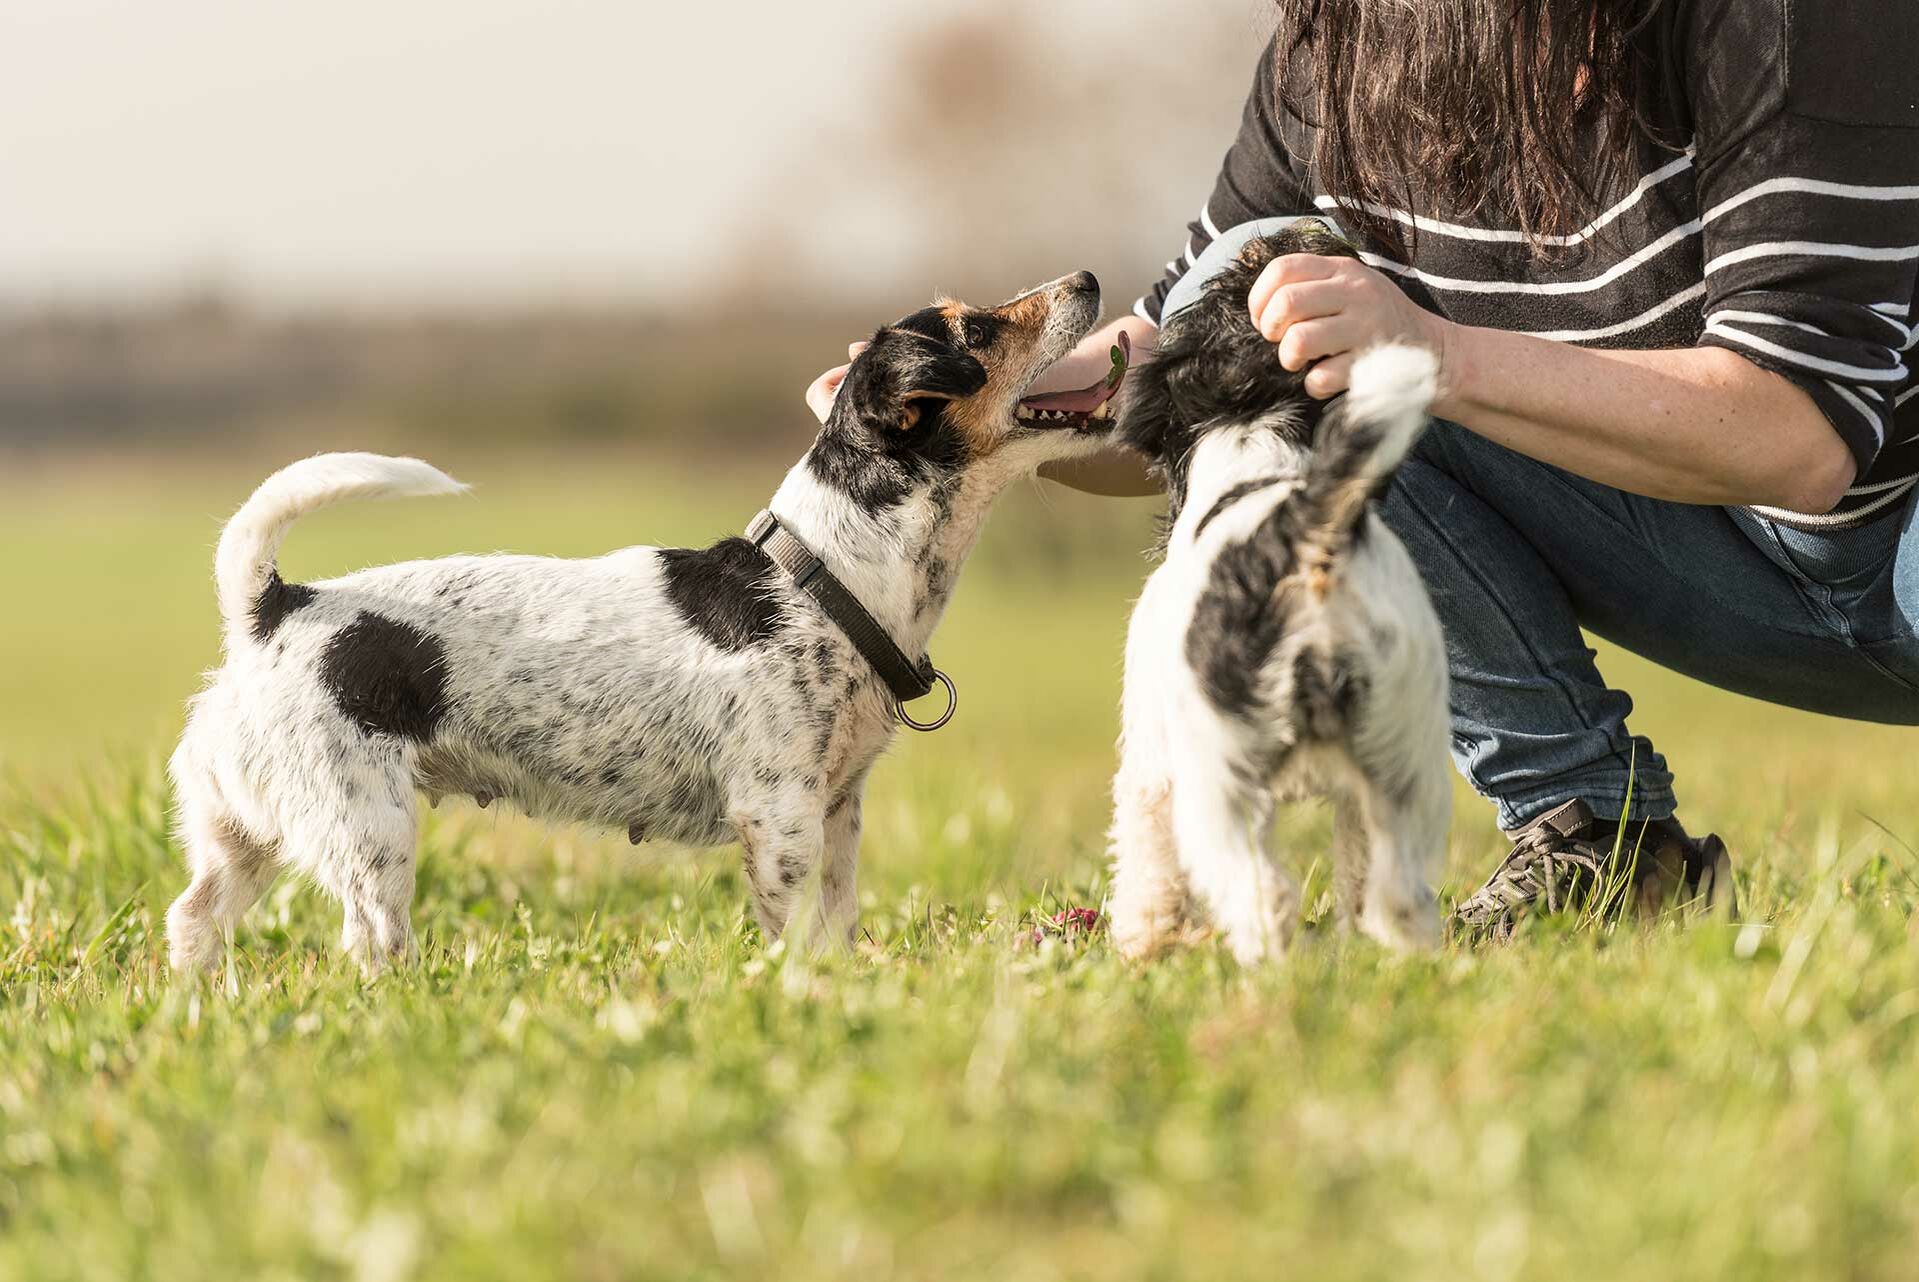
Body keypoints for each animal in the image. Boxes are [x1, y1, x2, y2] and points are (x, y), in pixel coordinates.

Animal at [168, 268, 1120, 971]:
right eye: (979, 329)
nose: (1087, 277)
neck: (829, 573)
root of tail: (272, 607)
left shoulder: (842, 807)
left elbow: (839, 920)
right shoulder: (780, 816)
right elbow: (792, 934)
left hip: (243, 839)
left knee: (192, 919)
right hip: (370, 835)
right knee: (367, 945)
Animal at [1105, 230, 1443, 967]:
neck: (1254, 445)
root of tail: (1301, 535)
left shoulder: (1150, 764)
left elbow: (1146, 861)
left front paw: (1140, 940)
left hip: (1218, 779)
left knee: (1265, 894)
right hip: (1402, 760)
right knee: (1398, 894)